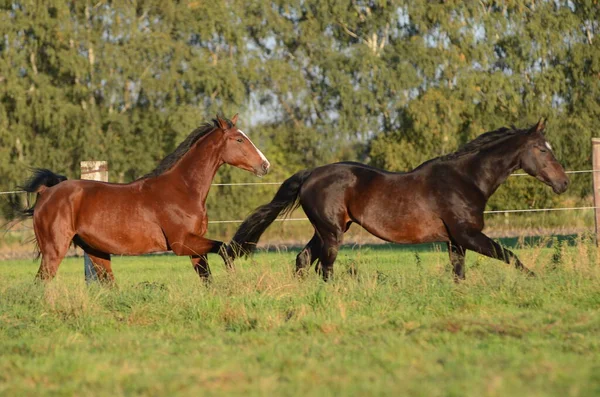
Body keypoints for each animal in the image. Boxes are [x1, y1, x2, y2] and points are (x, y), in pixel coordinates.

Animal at [19, 114, 270, 282]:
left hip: (95, 252)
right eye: (239, 140)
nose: (265, 165)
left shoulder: (194, 246)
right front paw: (233, 271)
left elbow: (207, 277)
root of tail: (46, 192)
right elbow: (223, 248)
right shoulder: (181, 243)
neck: (182, 190)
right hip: (54, 250)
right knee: (42, 281)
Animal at [227, 119, 568, 280]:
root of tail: (311, 174)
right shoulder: (468, 235)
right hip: (331, 232)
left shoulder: (455, 241)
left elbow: (459, 273)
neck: (466, 179)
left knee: (303, 259)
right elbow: (510, 256)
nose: (563, 183)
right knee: (325, 265)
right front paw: (537, 280)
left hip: (327, 229)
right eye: (542, 149)